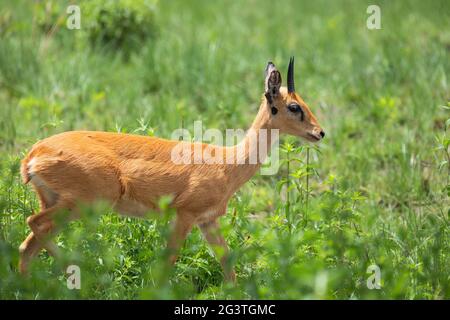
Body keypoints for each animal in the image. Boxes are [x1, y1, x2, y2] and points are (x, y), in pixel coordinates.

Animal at [19, 57, 326, 280]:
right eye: (294, 106)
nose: (320, 132)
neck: (227, 163)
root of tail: (33, 155)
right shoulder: (184, 215)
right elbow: (169, 260)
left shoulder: (207, 221)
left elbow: (227, 261)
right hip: (84, 203)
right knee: (33, 224)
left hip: (59, 203)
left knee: (27, 244)